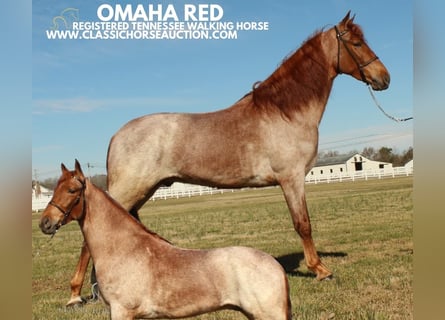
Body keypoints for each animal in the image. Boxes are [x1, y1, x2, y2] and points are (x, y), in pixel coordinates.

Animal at [39, 161, 292, 318]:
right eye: (55, 188)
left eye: (72, 191)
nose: (45, 223)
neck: (122, 249)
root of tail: (275, 266)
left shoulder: (122, 311)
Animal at [63, 11, 388, 306]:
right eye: (356, 43)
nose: (384, 78)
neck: (284, 112)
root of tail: (117, 136)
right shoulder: (292, 178)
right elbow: (303, 223)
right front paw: (320, 270)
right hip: (128, 190)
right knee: (87, 238)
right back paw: (75, 295)